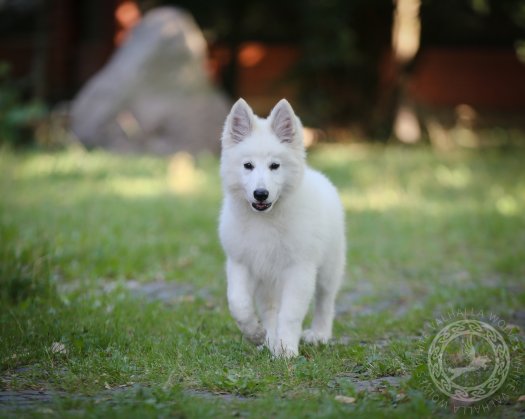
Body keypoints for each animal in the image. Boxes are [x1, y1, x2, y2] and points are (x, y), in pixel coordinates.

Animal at [217, 98, 344, 358]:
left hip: (329, 268)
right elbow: (239, 303)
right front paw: (256, 334)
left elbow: (290, 313)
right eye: (248, 165)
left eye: (275, 165)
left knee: (325, 302)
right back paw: (269, 341)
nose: (261, 194)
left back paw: (319, 334)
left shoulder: (299, 270)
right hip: (268, 282)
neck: (264, 219)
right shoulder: (240, 263)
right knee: (270, 310)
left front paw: (286, 349)